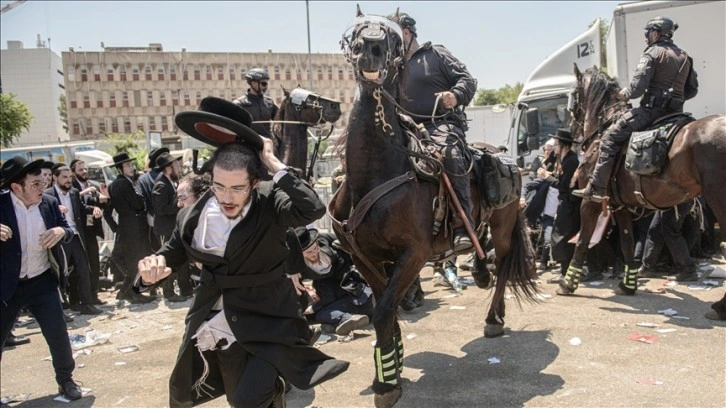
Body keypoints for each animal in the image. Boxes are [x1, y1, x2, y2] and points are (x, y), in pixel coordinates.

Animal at [330, 7, 540, 408]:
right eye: (357, 32)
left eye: (392, 37)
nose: (372, 50)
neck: (377, 174)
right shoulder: (365, 257)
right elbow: (386, 310)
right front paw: (392, 363)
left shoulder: (413, 254)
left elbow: (384, 311)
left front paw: (386, 384)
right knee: (483, 250)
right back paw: (478, 272)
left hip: (504, 227)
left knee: (503, 264)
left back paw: (494, 318)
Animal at [560, 65, 726, 296]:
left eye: (573, 94)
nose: (573, 133)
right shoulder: (620, 206)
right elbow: (627, 242)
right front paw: (628, 284)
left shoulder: (590, 202)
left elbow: (583, 240)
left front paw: (568, 283)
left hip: (718, 199)